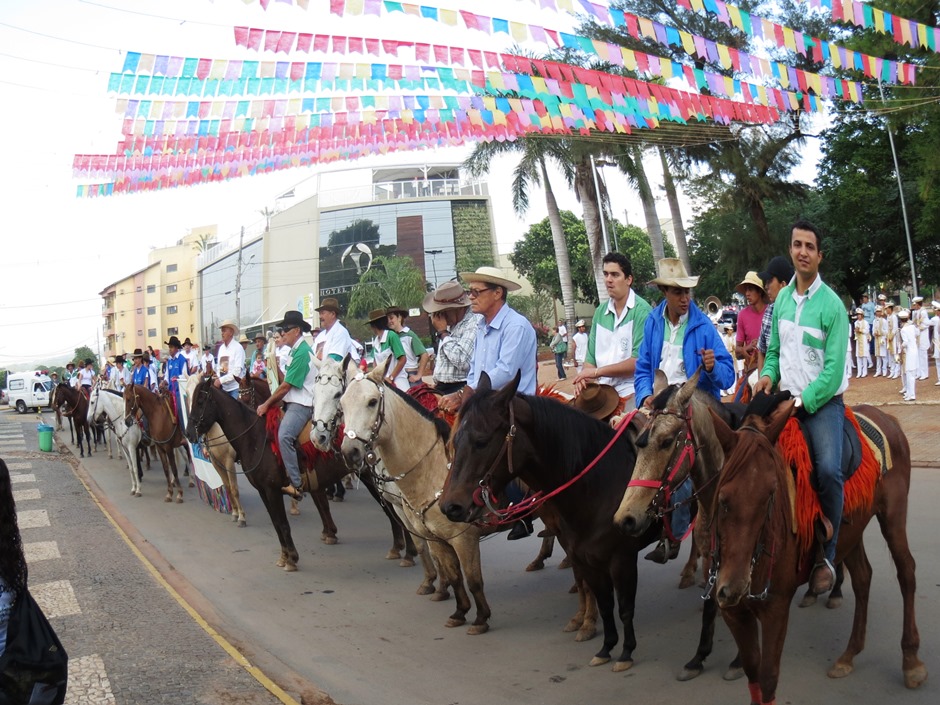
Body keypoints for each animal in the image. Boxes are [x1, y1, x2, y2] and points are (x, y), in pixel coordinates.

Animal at [342, 364, 496, 632]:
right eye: (341, 403)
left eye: (372, 402)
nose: (348, 451)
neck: (435, 467)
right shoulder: (435, 536)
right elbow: (454, 574)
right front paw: (459, 612)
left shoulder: (464, 537)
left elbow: (474, 579)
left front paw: (480, 619)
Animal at [442, 368, 728, 672]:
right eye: (454, 441)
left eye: (481, 441)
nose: (450, 506)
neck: (598, 485)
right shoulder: (584, 555)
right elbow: (602, 601)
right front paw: (605, 645)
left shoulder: (622, 560)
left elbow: (624, 607)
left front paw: (625, 652)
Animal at [712, 390, 924, 704]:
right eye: (724, 499)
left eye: (770, 495)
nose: (734, 585)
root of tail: (887, 418)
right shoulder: (734, 612)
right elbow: (753, 675)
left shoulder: (776, 607)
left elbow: (768, 678)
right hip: (852, 531)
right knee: (863, 578)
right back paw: (849, 655)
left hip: (893, 515)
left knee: (906, 571)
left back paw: (911, 661)